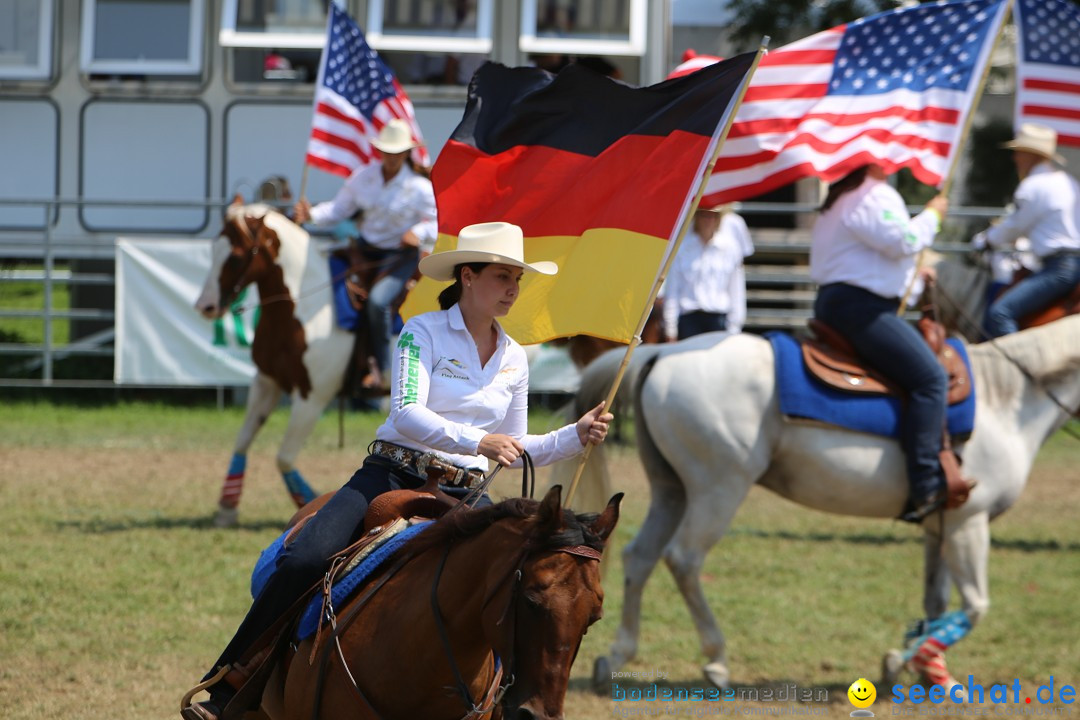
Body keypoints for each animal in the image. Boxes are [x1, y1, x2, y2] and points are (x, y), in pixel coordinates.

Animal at [194, 205, 354, 526]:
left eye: (236, 256)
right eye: (213, 249)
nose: (205, 306)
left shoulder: (311, 398)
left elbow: (284, 457)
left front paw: (308, 501)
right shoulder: (267, 382)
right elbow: (243, 440)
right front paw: (227, 506)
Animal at [561, 317, 1080, 695]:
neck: (1006, 398)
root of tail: (662, 352)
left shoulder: (942, 525)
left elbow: (937, 601)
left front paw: (929, 670)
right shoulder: (969, 522)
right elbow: (975, 607)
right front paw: (902, 661)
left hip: (672, 490)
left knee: (640, 557)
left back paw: (617, 656)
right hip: (718, 488)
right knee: (683, 559)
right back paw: (716, 660)